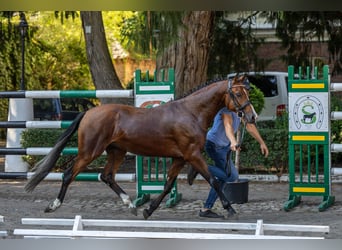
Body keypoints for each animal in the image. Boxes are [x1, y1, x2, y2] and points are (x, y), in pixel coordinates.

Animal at [25, 75, 256, 220]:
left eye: (247, 92)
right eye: (238, 94)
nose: (252, 116)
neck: (191, 112)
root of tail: (89, 112)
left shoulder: (180, 158)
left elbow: (167, 186)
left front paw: (149, 210)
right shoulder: (192, 155)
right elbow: (214, 180)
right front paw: (230, 209)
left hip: (116, 152)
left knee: (107, 176)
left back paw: (131, 205)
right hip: (89, 152)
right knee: (68, 174)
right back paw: (53, 205)